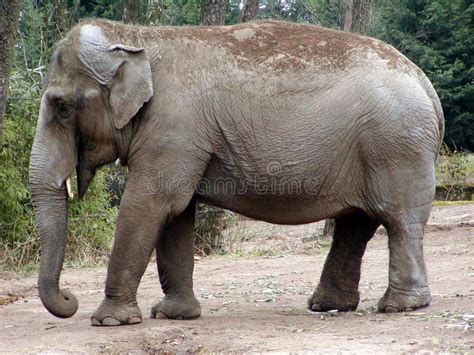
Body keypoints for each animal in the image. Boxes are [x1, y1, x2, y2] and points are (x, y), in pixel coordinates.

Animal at [28, 18, 444, 326]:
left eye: (62, 107)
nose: (69, 298)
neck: (138, 37)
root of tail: (424, 81)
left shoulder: (175, 127)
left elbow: (152, 203)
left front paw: (110, 321)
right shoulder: (180, 138)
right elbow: (177, 213)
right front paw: (174, 315)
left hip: (395, 146)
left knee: (398, 219)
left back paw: (400, 306)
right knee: (356, 223)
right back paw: (329, 306)